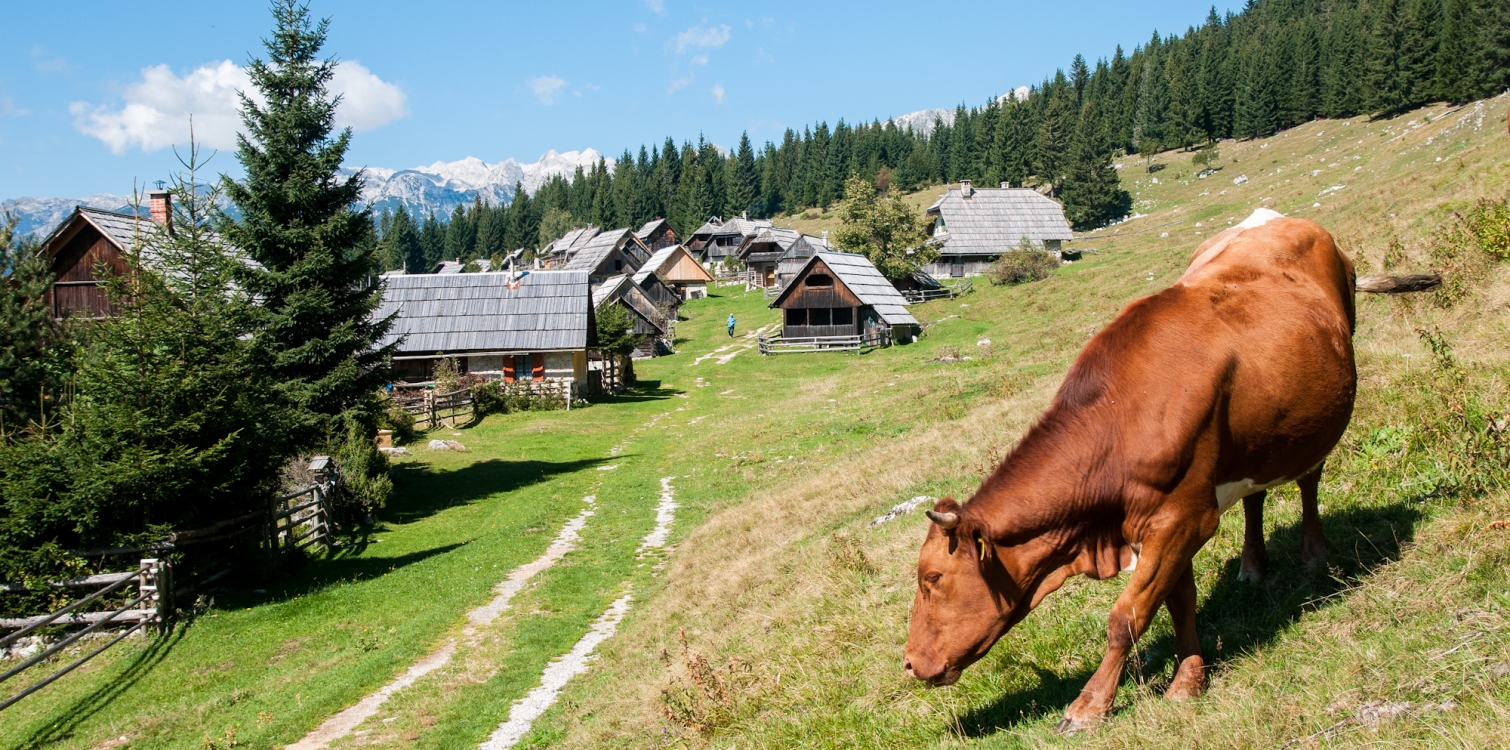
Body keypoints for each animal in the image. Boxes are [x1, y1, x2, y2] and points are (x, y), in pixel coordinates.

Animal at [893, 209, 1359, 730]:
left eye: (932, 578)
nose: (908, 663)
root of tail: (1283, 220)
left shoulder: (1181, 520)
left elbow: (1127, 616)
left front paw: (1090, 705)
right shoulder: (1161, 524)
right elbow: (1178, 601)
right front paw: (1189, 679)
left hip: (1314, 421)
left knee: (1309, 479)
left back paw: (1315, 555)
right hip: (1259, 438)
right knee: (1256, 493)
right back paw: (1252, 567)